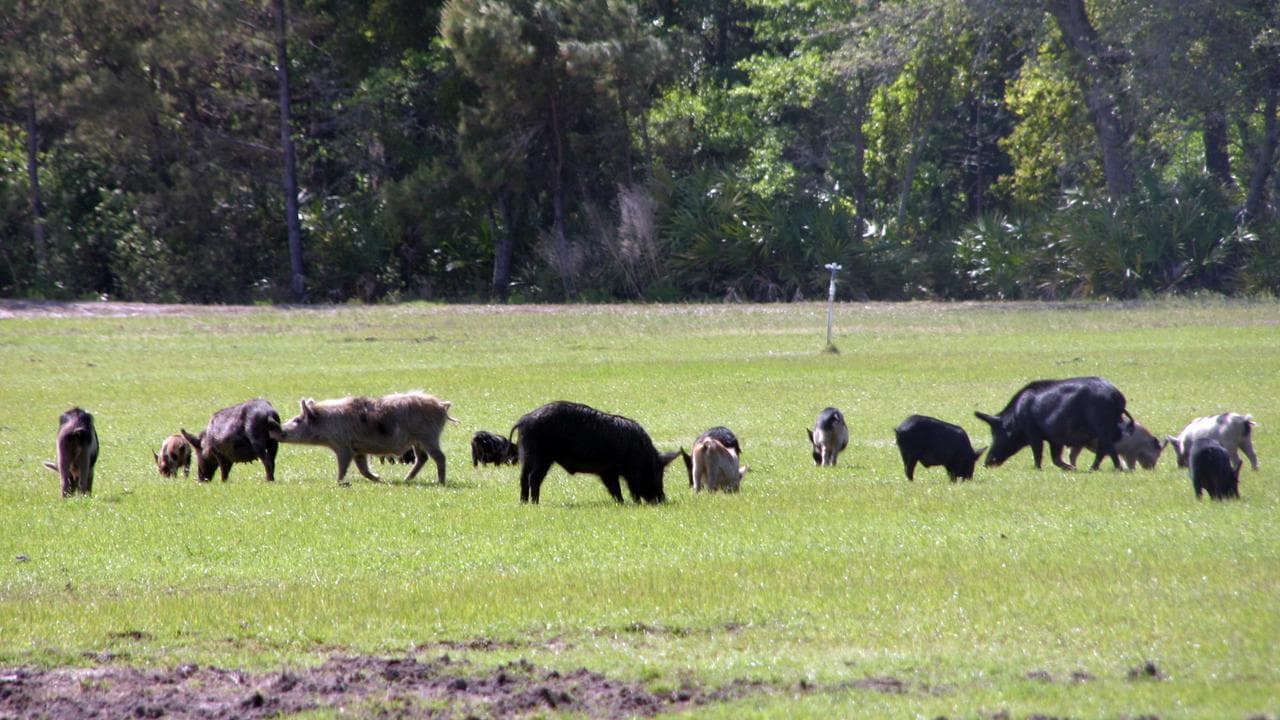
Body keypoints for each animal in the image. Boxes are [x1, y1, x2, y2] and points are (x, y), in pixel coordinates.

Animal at [274, 391, 457, 485]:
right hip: (417, 441)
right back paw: (406, 480)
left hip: (429, 436)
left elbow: (343, 466)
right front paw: (379, 479)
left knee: (440, 457)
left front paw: (338, 482)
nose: (275, 430)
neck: (327, 423)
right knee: (423, 458)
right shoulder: (358, 450)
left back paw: (441, 482)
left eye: (297, 420)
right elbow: (363, 469)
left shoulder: (343, 445)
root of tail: (442, 405)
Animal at [510, 400, 679, 504]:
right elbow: (617, 488)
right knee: (533, 478)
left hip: (527, 457)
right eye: (653, 473)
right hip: (542, 457)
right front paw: (624, 503)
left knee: (523, 478)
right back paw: (535, 503)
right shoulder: (611, 472)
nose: (662, 500)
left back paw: (524, 503)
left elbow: (615, 488)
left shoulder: (608, 472)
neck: (640, 453)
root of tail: (523, 420)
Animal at [976, 376, 1130, 470]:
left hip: (1102, 426)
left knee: (1107, 448)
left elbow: (1038, 453)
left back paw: (1108, 469)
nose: (986, 463)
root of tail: (1117, 397)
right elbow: (1055, 458)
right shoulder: (1055, 439)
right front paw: (1072, 468)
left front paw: (1037, 469)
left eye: (996, 434)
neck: (1016, 418)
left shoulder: (1033, 433)